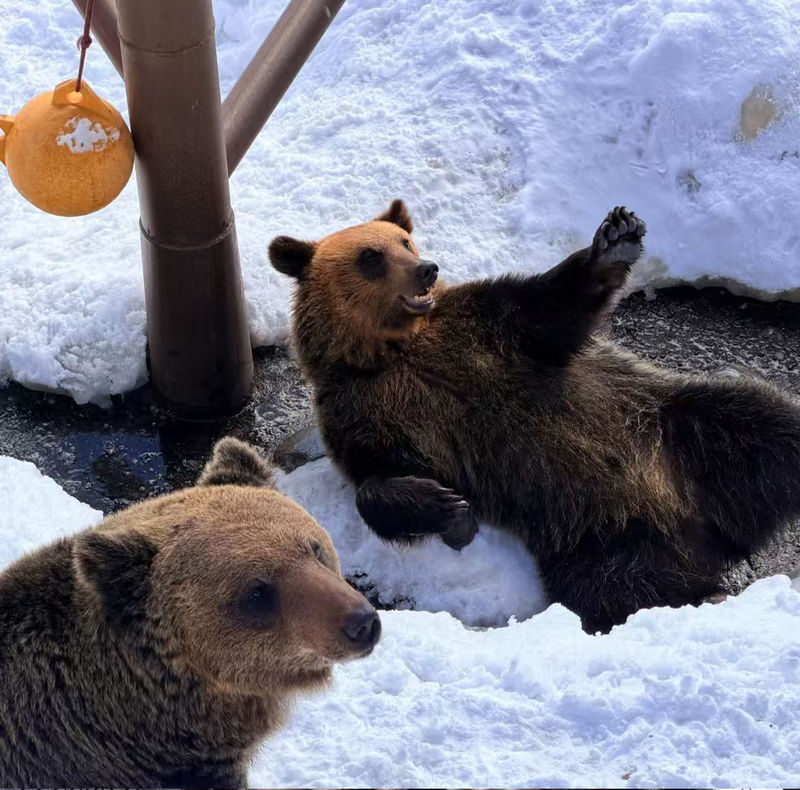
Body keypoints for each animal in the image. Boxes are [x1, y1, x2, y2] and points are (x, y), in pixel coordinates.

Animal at [269, 200, 800, 634]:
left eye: (404, 241)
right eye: (370, 256)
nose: (425, 269)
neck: (394, 350)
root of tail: (705, 531)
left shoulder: (486, 328)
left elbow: (551, 308)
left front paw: (617, 236)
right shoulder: (359, 406)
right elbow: (374, 480)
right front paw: (448, 508)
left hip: (671, 427)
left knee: (764, 422)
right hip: (598, 536)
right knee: (619, 589)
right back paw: (700, 596)